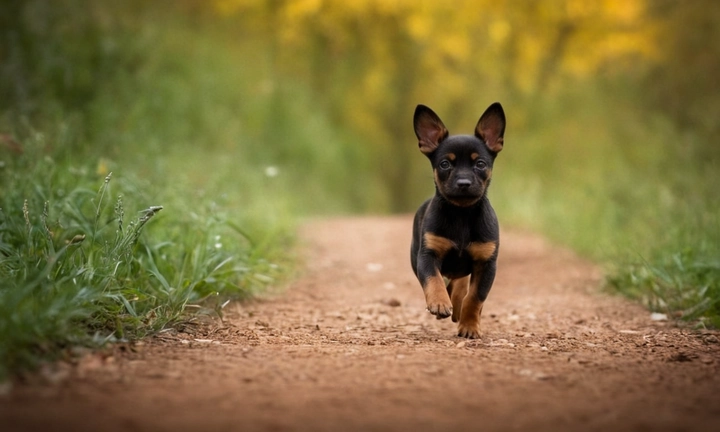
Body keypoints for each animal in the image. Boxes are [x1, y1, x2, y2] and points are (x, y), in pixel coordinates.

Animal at [410, 103, 506, 340]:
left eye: (480, 163)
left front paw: (470, 326)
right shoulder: (427, 256)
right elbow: (433, 279)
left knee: (461, 284)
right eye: (445, 164)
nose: (463, 182)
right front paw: (439, 302)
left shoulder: (486, 264)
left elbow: (475, 298)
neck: (462, 214)